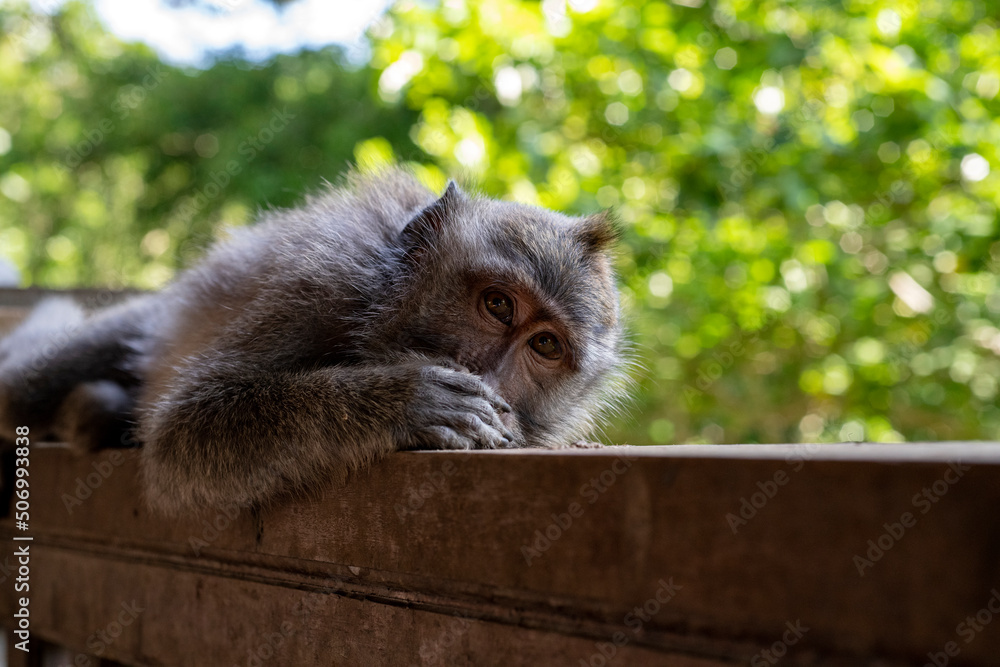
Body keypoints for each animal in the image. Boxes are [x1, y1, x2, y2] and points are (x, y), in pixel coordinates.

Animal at [0, 168, 628, 514]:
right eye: (498, 305)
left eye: (545, 346)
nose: (489, 376)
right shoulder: (320, 283)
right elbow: (184, 430)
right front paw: (409, 399)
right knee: (21, 390)